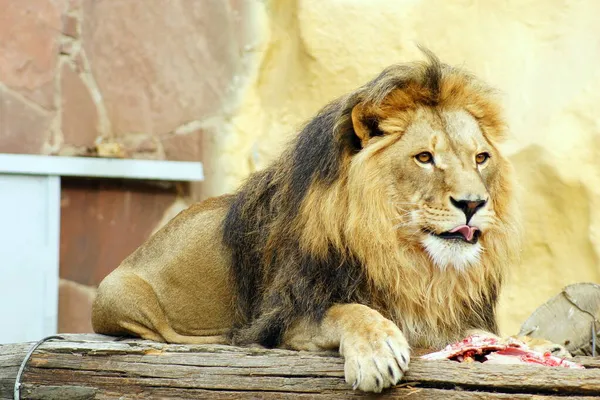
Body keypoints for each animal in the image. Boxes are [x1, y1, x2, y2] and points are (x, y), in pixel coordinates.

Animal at [92, 51, 568, 392]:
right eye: (424, 158)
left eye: (481, 158)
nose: (473, 203)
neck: (404, 258)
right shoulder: (284, 319)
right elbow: (347, 310)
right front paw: (377, 351)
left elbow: (477, 332)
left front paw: (536, 345)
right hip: (117, 293)